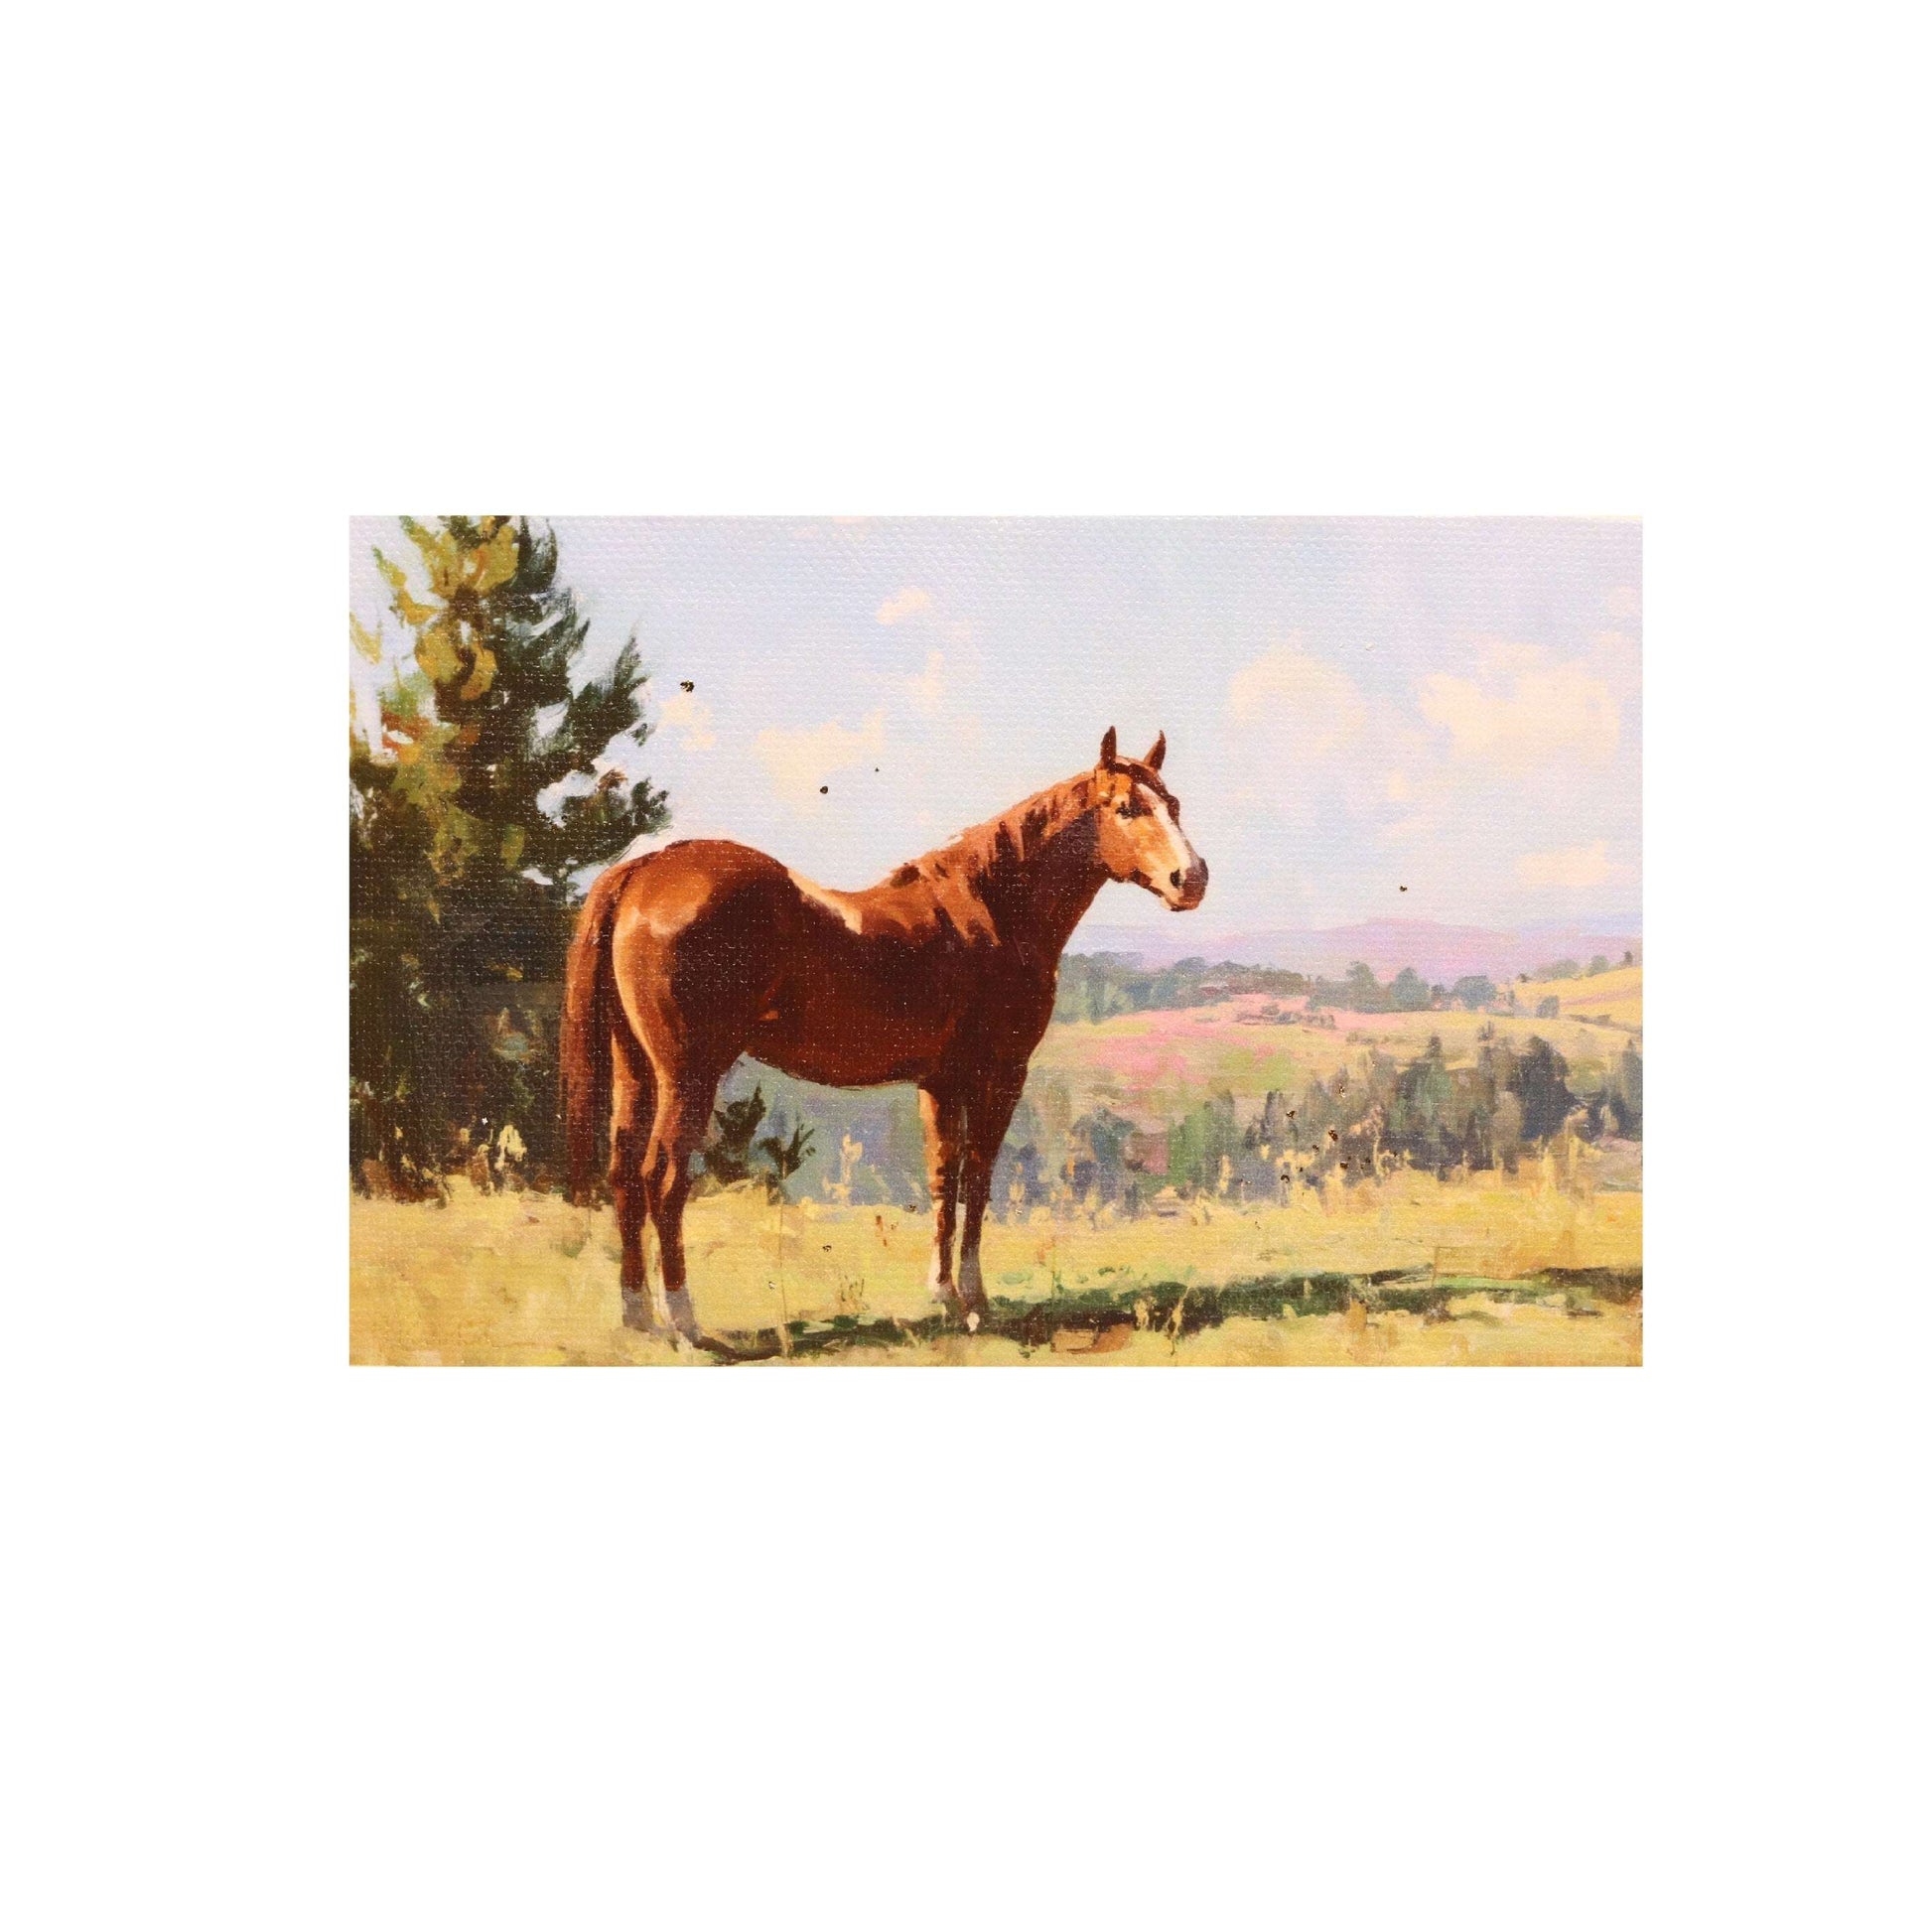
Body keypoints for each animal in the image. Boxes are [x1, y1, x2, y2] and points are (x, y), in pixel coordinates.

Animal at [560, 728, 1208, 1342]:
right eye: (1126, 807)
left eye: (1174, 803)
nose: (1191, 879)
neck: (994, 907)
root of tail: (642, 871)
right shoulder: (1000, 1074)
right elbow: (979, 1178)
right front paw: (976, 1301)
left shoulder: (940, 1082)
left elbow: (944, 1178)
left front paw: (944, 1295)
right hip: (688, 1075)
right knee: (662, 1180)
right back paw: (684, 1320)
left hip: (635, 1068)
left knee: (623, 1174)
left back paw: (638, 1315)